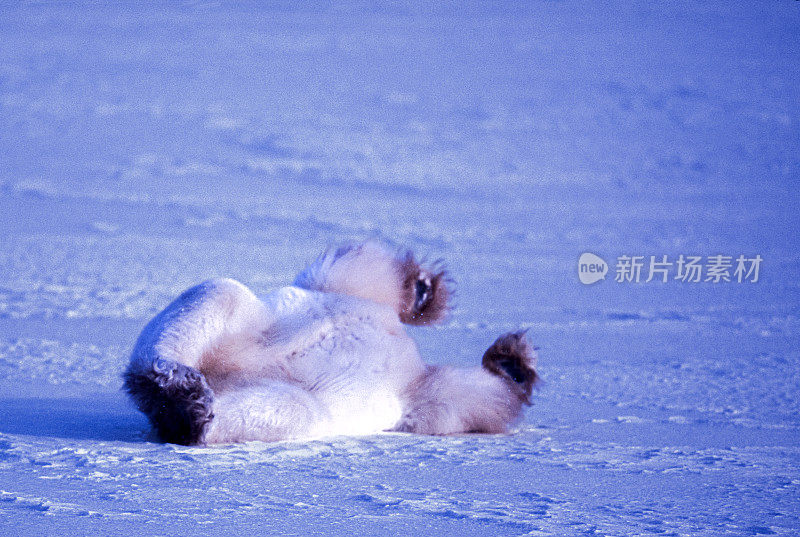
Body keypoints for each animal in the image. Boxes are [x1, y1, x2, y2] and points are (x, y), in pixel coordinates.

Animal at [123, 243, 536, 444]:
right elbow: (477, 400)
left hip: (285, 380)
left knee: (277, 404)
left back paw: (179, 400)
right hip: (256, 334)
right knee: (218, 293)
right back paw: (179, 396)